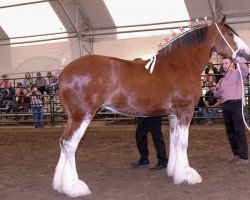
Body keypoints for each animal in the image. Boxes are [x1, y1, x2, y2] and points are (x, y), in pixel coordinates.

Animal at [51, 16, 249, 197]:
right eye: (230, 33)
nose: (246, 54)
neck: (180, 64)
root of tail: (64, 73)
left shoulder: (173, 114)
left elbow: (174, 140)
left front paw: (174, 172)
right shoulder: (185, 111)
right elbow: (183, 143)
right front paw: (187, 175)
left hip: (72, 117)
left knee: (62, 142)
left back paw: (61, 185)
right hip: (82, 116)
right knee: (69, 144)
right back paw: (75, 187)